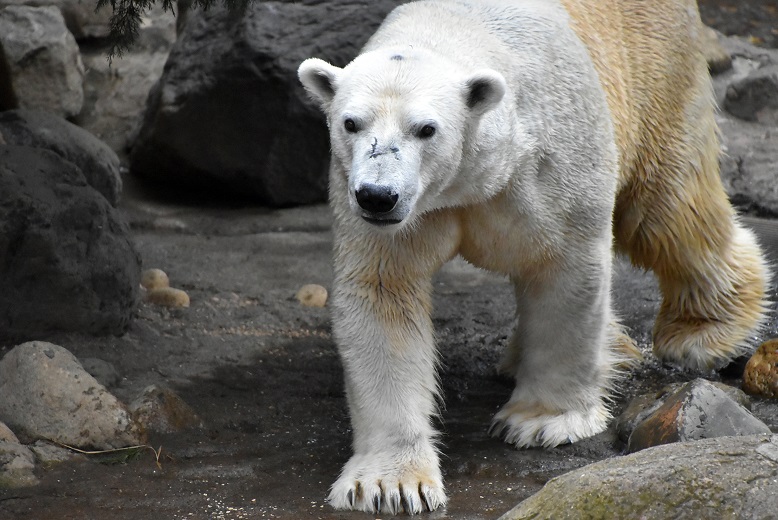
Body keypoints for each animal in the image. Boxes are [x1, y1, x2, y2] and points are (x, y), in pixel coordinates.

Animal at [296, 0, 764, 512]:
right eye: (351, 123)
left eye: (426, 129)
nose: (378, 196)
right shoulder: (386, 210)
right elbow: (384, 294)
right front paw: (389, 484)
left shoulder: (551, 162)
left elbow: (563, 271)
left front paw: (542, 421)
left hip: (655, 69)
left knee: (667, 210)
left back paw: (707, 330)